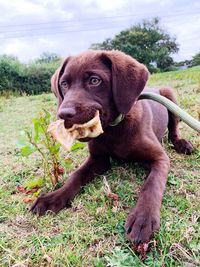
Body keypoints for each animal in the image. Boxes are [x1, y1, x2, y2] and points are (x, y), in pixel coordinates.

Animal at [30, 50, 193, 245]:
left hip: (170, 96)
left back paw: (182, 144)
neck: (113, 129)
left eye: (94, 80)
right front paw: (53, 197)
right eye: (64, 84)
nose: (63, 114)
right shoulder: (98, 160)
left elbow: (152, 184)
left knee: (173, 130)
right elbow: (75, 176)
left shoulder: (160, 158)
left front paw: (143, 218)